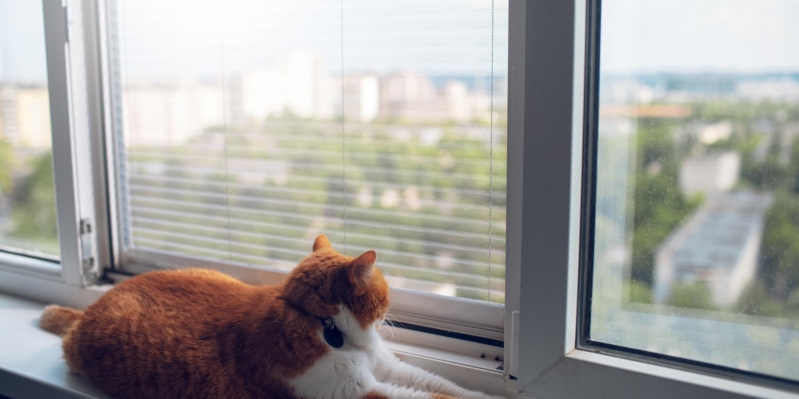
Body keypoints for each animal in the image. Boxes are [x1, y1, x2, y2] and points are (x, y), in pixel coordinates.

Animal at [40, 234, 506, 399]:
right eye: (386, 291)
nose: (396, 309)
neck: (327, 328)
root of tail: (91, 310)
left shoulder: (388, 369)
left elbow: (443, 385)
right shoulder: (361, 392)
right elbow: (431, 397)